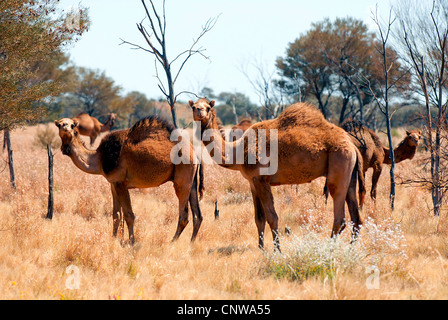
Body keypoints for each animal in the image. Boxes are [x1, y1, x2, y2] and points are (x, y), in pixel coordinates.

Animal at [53, 115, 205, 245]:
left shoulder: (121, 183)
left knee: (184, 215)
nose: (65, 127)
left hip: (182, 180)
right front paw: (113, 239)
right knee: (198, 215)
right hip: (191, 181)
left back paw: (172, 242)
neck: (99, 158)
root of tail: (195, 154)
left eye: (73, 125)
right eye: (59, 124)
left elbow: (128, 215)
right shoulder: (113, 184)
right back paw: (191, 243)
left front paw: (131, 241)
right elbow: (116, 215)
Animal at [189, 97, 364, 250]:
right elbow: (259, 218)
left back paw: (328, 249)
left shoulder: (261, 179)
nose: (199, 111)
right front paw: (261, 248)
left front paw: (277, 250)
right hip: (349, 175)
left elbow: (272, 217)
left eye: (208, 107)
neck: (237, 151)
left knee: (340, 217)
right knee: (357, 218)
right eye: (193, 106)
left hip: (339, 163)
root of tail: (353, 146)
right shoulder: (252, 182)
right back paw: (351, 250)